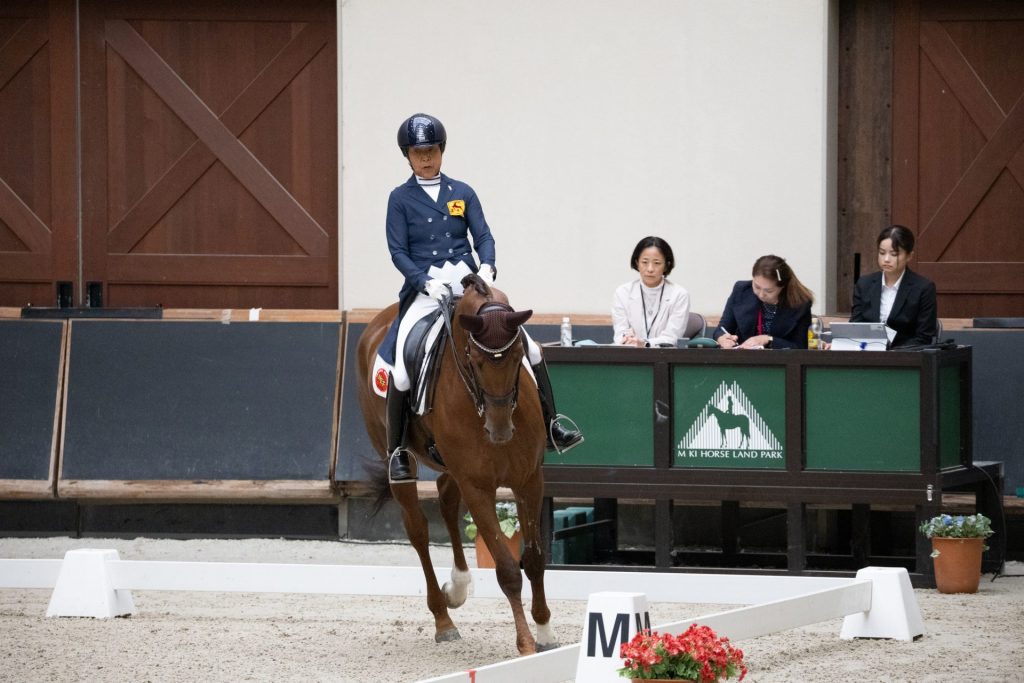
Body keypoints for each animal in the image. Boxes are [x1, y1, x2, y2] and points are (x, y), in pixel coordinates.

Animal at [354, 274, 561, 655]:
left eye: (518, 357)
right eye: (475, 361)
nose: (500, 431)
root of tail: (379, 322)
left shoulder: (529, 479)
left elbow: (535, 560)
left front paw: (545, 633)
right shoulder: (477, 486)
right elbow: (508, 570)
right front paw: (525, 644)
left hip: (454, 469)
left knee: (447, 501)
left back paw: (459, 586)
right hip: (400, 460)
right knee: (418, 530)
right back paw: (443, 619)